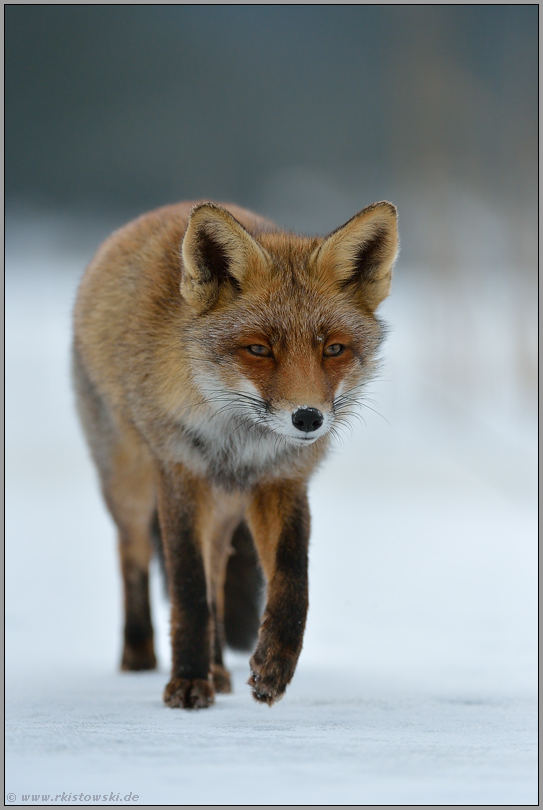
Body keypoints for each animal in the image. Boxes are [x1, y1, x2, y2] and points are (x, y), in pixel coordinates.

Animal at [72, 199, 398, 709]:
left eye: (334, 349)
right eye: (259, 349)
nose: (308, 418)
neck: (241, 444)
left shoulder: (281, 481)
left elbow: (291, 581)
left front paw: (274, 666)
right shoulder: (180, 474)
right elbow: (187, 588)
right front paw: (187, 681)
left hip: (224, 508)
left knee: (217, 580)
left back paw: (218, 667)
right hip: (130, 484)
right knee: (133, 554)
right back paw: (140, 654)